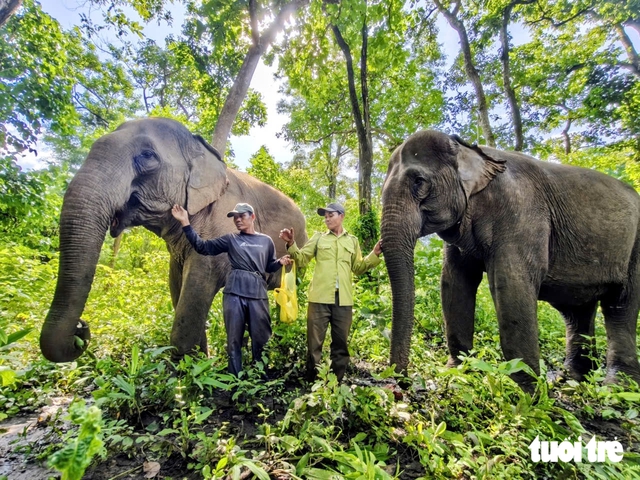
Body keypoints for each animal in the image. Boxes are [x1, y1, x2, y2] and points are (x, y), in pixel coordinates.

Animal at [40, 117, 307, 363]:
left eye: (147, 155)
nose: (82, 328)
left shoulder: (221, 225)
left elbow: (196, 291)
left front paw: (188, 368)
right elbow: (177, 285)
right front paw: (199, 361)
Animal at [381, 129, 640, 388]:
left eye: (419, 181)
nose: (401, 380)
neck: (471, 151)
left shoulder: (520, 212)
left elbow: (510, 284)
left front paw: (530, 390)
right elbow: (455, 282)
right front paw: (458, 372)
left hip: (635, 248)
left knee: (620, 307)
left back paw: (617, 386)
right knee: (577, 312)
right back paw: (571, 378)